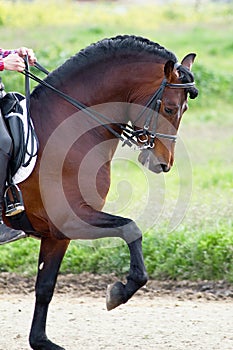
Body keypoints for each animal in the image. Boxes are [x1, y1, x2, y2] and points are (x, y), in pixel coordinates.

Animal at [9, 34, 198, 348]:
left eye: (182, 110)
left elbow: (45, 286)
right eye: (170, 108)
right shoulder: (72, 217)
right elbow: (131, 228)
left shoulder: (57, 232)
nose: (164, 164)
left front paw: (41, 341)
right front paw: (119, 293)